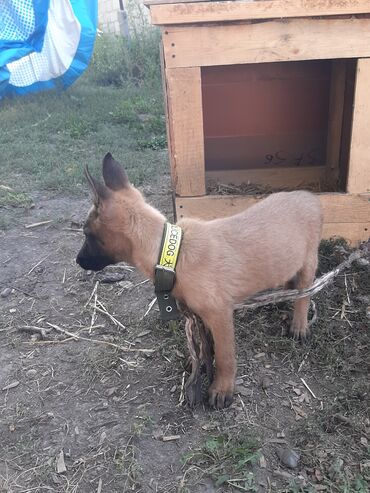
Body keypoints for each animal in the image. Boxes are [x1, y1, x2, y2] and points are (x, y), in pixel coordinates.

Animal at [76, 154, 322, 408]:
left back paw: (299, 324)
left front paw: (222, 388)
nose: (78, 261)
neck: (172, 253)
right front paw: (201, 362)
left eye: (86, 234)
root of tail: (310, 197)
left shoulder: (220, 314)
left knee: (304, 294)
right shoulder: (200, 315)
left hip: (309, 261)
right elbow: (206, 344)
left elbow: (225, 356)